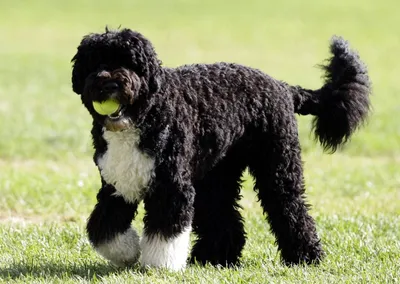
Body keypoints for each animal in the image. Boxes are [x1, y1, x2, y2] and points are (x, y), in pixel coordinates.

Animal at [71, 28, 372, 270]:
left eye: (132, 63)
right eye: (96, 62)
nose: (110, 83)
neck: (145, 115)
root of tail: (284, 87)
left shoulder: (172, 186)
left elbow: (165, 233)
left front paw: (160, 265)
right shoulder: (116, 185)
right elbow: (103, 229)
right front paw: (129, 252)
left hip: (277, 167)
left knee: (290, 209)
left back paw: (305, 257)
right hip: (216, 175)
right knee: (225, 218)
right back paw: (215, 258)